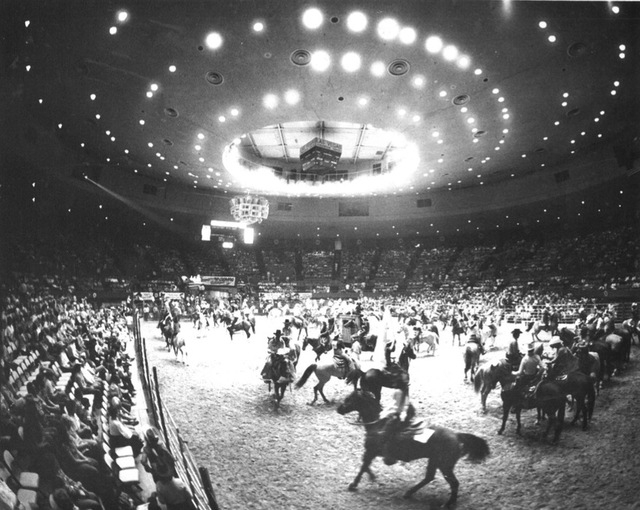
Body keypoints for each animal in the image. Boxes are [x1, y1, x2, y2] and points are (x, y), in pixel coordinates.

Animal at [336, 390, 490, 506]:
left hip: (445, 465)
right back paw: (409, 493)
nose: (338, 408)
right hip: (434, 461)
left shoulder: (370, 451)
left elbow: (363, 466)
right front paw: (372, 477)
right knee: (429, 477)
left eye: (348, 399)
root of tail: (457, 435)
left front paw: (354, 484)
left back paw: (447, 503)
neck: (378, 424)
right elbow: (365, 465)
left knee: (454, 483)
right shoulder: (371, 452)